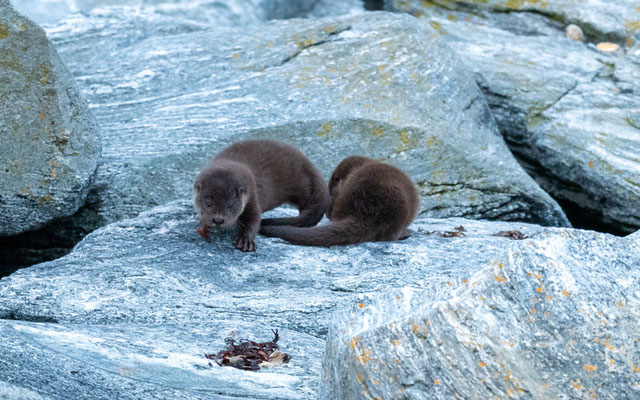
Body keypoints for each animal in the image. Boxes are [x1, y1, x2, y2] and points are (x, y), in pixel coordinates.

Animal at [192, 141, 328, 252]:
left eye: (230, 206)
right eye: (208, 204)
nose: (218, 220)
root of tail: (308, 162)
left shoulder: (252, 196)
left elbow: (254, 219)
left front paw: (245, 241)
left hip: (301, 184)